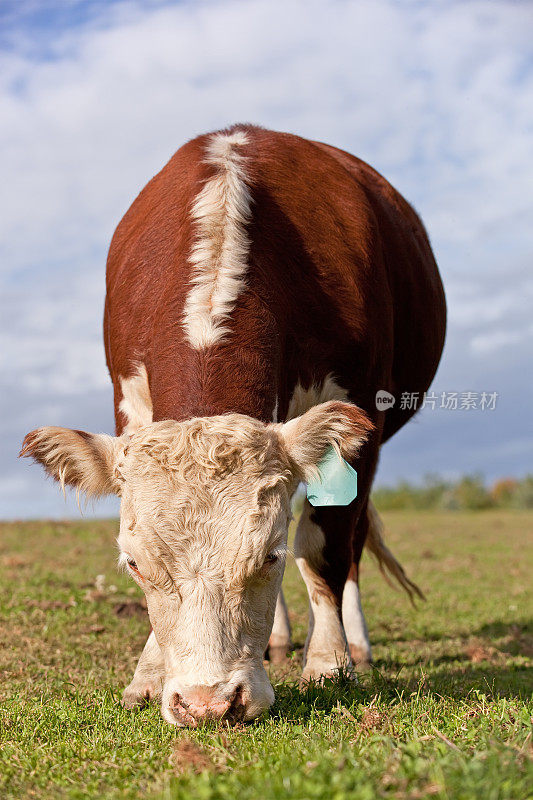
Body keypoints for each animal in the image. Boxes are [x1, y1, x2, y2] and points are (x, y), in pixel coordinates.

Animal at [19, 123, 444, 724]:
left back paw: (352, 642)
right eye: (133, 564)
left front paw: (329, 663)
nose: (209, 703)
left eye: (269, 556)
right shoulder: (130, 402)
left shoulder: (359, 414)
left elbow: (324, 547)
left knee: (351, 540)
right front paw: (148, 673)